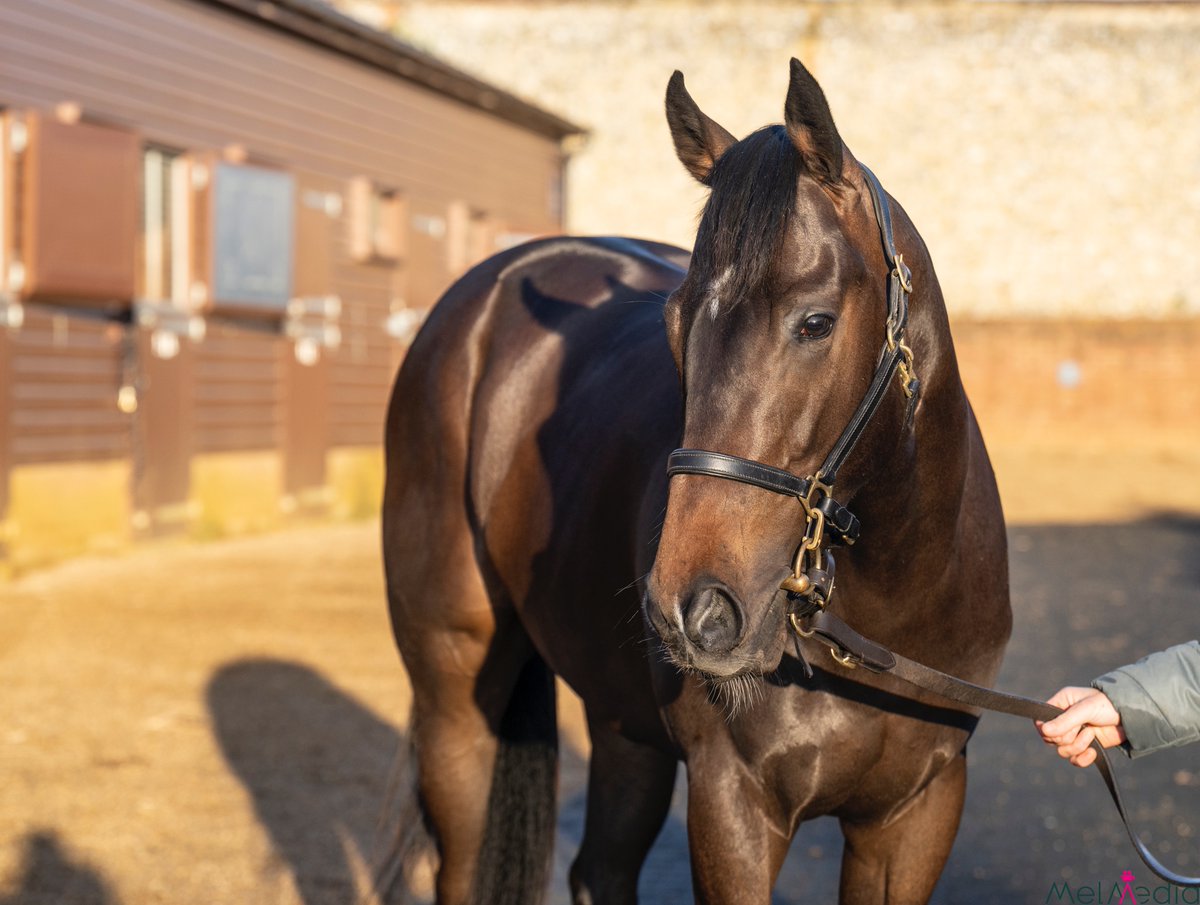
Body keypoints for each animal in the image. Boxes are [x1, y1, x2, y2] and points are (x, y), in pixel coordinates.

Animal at [381, 58, 1012, 902]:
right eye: (676, 325)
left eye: (816, 322)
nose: (694, 608)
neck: (894, 609)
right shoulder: (732, 801)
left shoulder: (917, 811)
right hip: (455, 696)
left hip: (625, 725)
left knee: (601, 867)